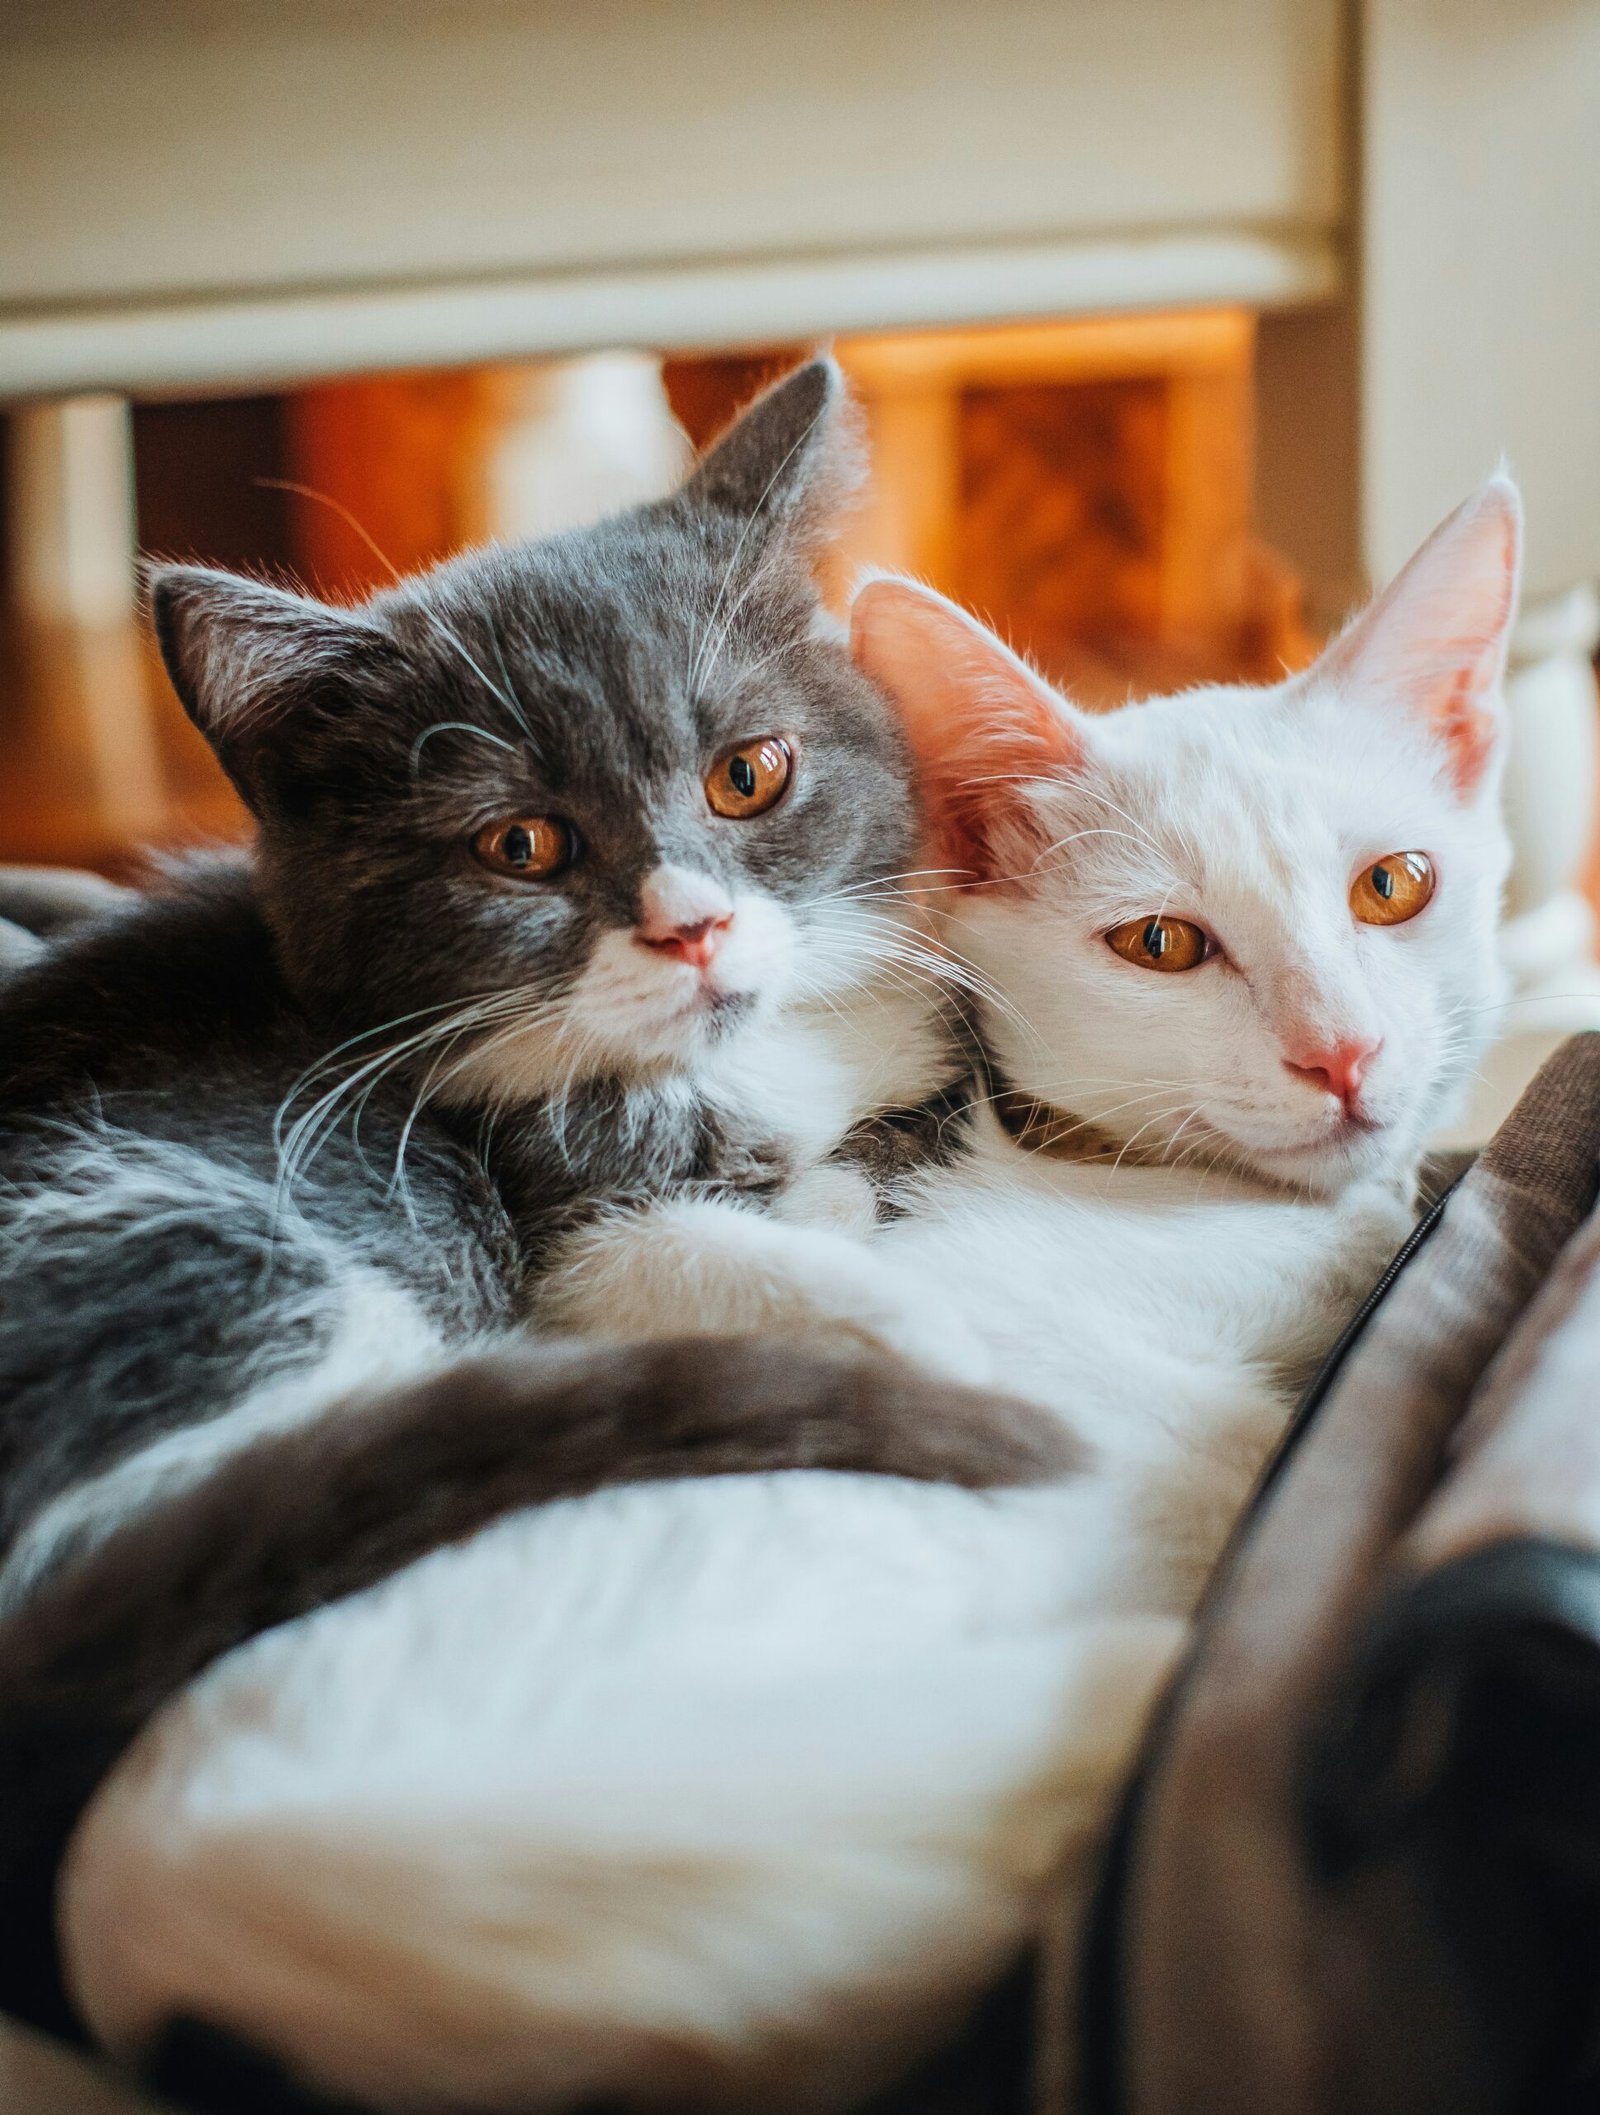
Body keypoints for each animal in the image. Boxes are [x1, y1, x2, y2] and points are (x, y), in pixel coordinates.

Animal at [6, 363, 1065, 2047]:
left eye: (749, 772)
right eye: (520, 843)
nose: (691, 927)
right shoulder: (529, 1203)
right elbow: (674, 1249)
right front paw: (917, 1323)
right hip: (240, 1238)